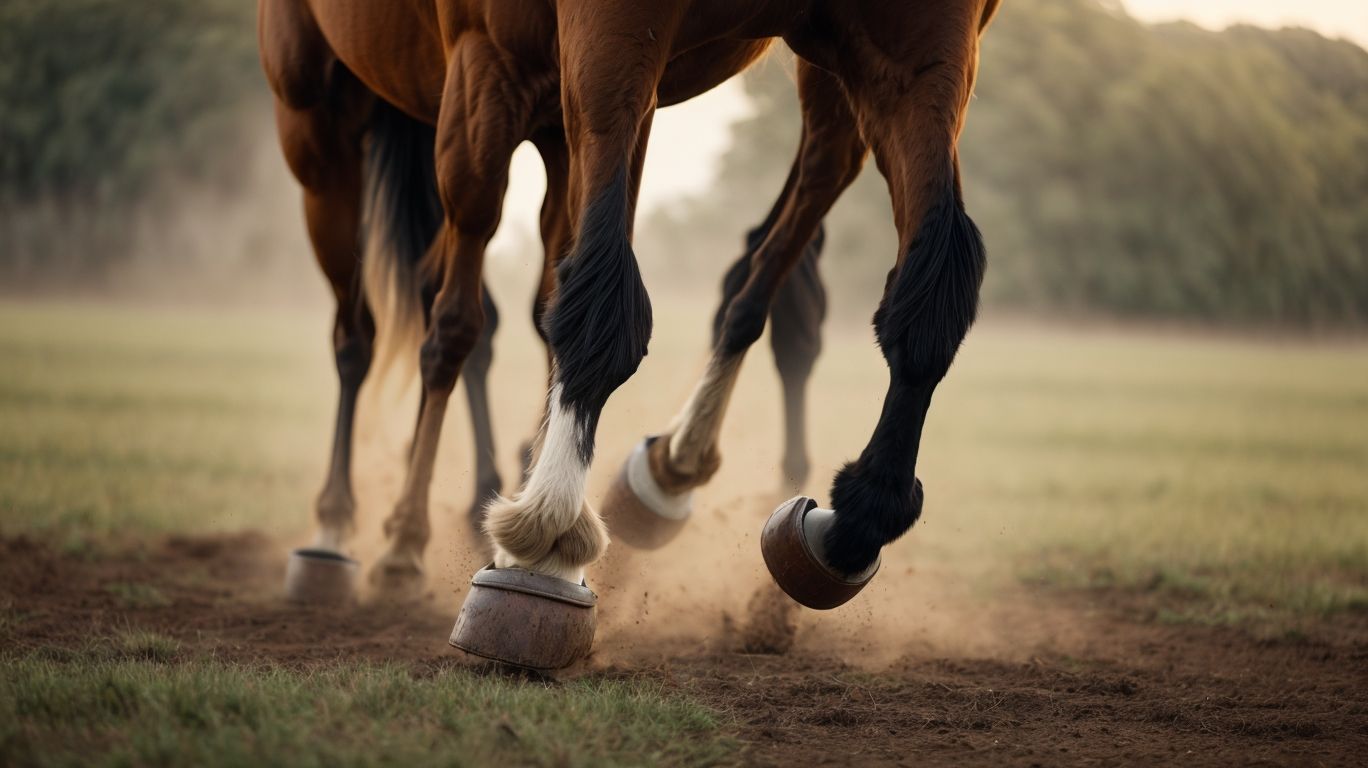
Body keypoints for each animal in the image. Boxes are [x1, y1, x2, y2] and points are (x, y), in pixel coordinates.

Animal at [261, 0, 999, 663]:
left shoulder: (910, 51)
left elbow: (929, 292)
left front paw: (856, 520)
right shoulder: (556, 49)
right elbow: (575, 307)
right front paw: (546, 540)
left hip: (546, 123)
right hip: (332, 123)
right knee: (376, 330)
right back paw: (349, 533)